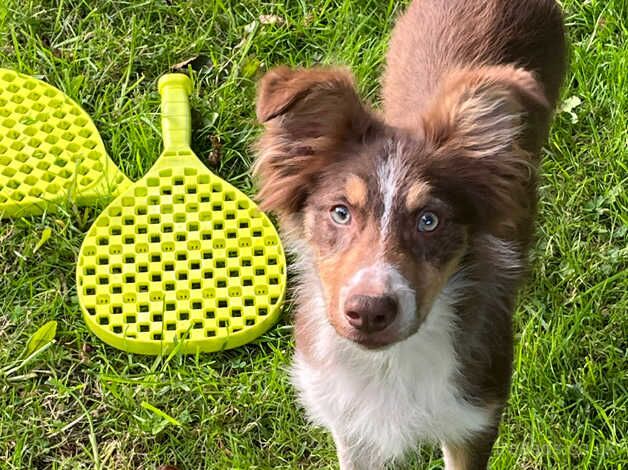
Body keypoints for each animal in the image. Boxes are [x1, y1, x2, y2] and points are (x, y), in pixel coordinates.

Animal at [253, 1, 568, 468]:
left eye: (429, 220)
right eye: (340, 213)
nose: (368, 312)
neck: (389, 364)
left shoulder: (473, 418)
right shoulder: (350, 424)